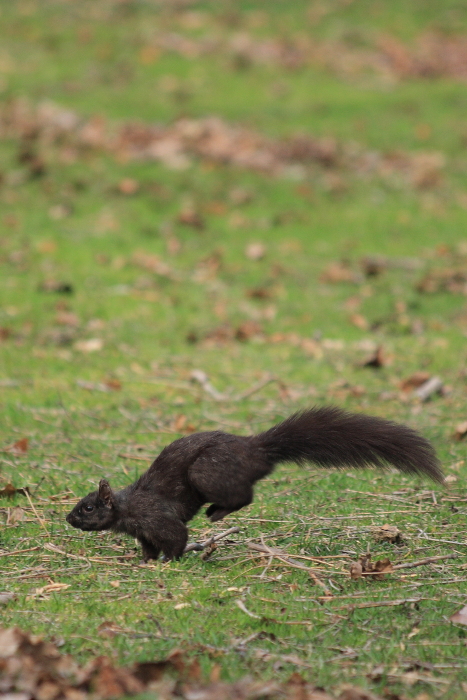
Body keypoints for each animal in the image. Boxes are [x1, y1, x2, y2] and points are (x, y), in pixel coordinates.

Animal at [65, 404, 442, 564]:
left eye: (88, 507)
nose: (68, 519)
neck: (128, 507)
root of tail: (255, 449)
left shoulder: (157, 517)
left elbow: (176, 538)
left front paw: (168, 561)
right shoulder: (144, 532)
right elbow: (148, 546)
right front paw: (144, 561)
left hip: (208, 473)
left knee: (245, 495)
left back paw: (217, 513)